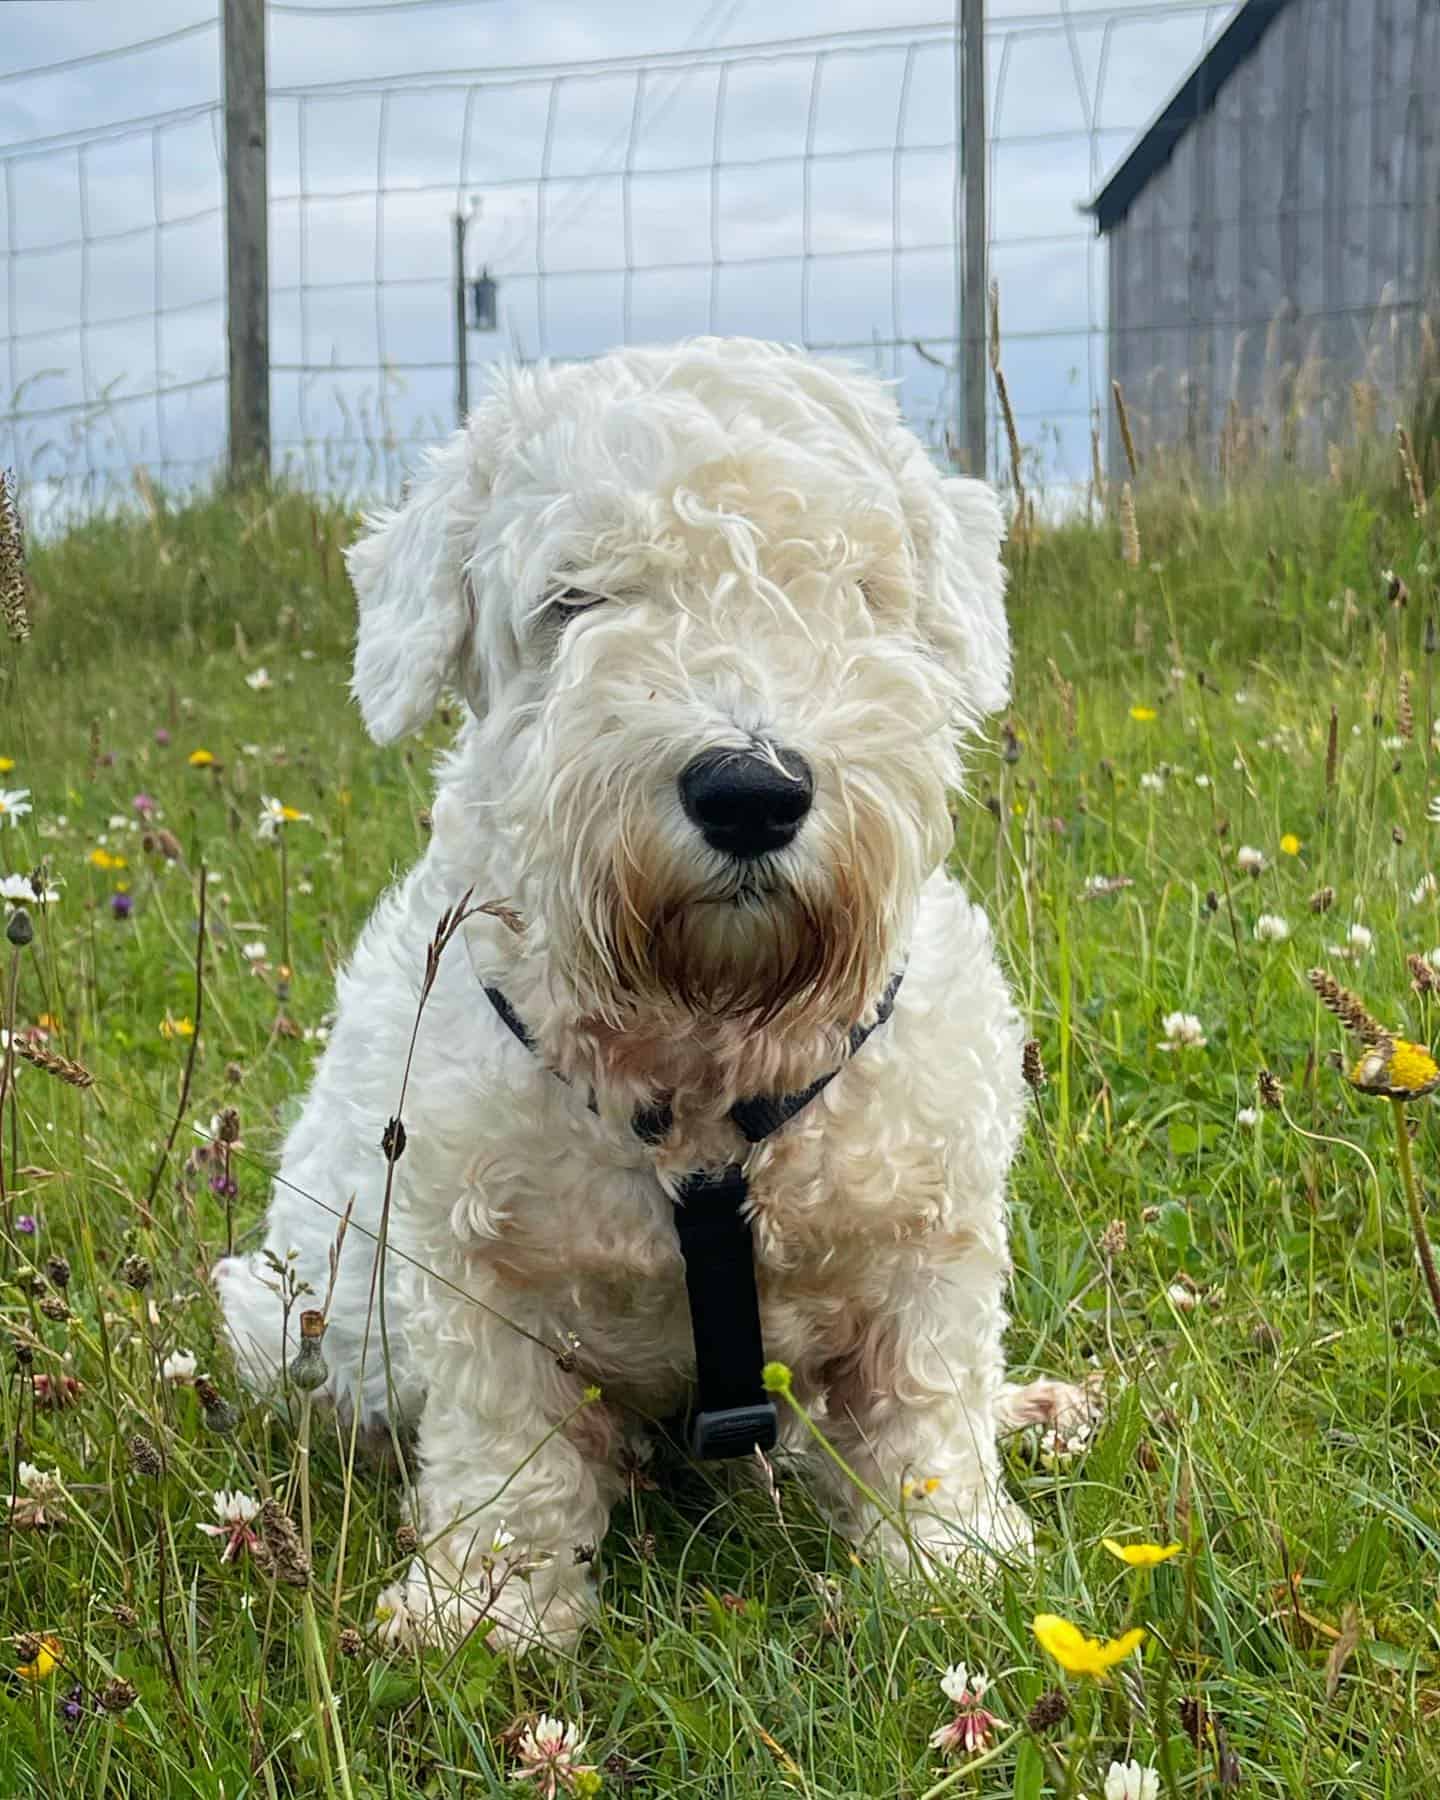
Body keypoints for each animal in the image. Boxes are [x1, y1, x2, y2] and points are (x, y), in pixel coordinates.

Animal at [214, 334, 1080, 1648]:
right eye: (575, 599)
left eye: (849, 587)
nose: (750, 791)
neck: (704, 1058)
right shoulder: (477, 1268)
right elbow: (503, 1448)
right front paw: (486, 1609)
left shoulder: (924, 1235)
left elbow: (926, 1408)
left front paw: (948, 1564)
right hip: (287, 1315)